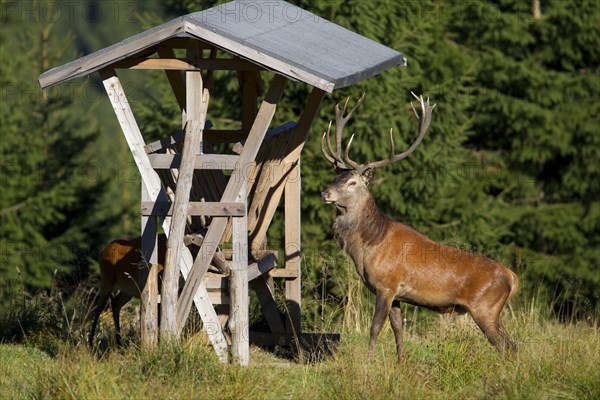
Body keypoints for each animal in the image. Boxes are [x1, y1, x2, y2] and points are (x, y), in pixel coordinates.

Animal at [322, 94, 516, 360]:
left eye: (352, 182)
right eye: (335, 178)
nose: (325, 193)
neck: (368, 246)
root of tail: (511, 277)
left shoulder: (386, 284)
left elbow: (375, 327)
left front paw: (369, 360)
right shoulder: (396, 294)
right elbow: (397, 328)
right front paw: (401, 361)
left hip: (485, 308)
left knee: (507, 346)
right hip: (492, 311)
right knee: (512, 345)